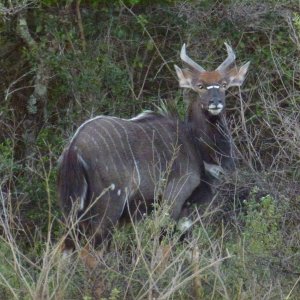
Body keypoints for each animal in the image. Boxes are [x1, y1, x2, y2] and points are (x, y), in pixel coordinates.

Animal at [58, 42, 248, 251]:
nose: (215, 103)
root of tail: (74, 146)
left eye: (223, 84)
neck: (196, 145)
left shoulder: (185, 210)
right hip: (110, 204)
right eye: (200, 86)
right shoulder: (174, 198)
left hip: (74, 209)